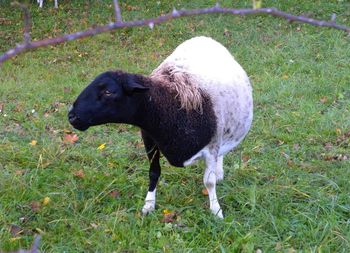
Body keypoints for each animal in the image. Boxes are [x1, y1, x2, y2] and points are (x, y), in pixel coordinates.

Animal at [68, 36, 253, 217]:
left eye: (108, 92)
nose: (72, 116)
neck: (170, 105)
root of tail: (204, 38)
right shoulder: (149, 139)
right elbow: (154, 172)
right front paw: (148, 205)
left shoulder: (212, 146)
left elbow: (209, 181)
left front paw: (216, 211)